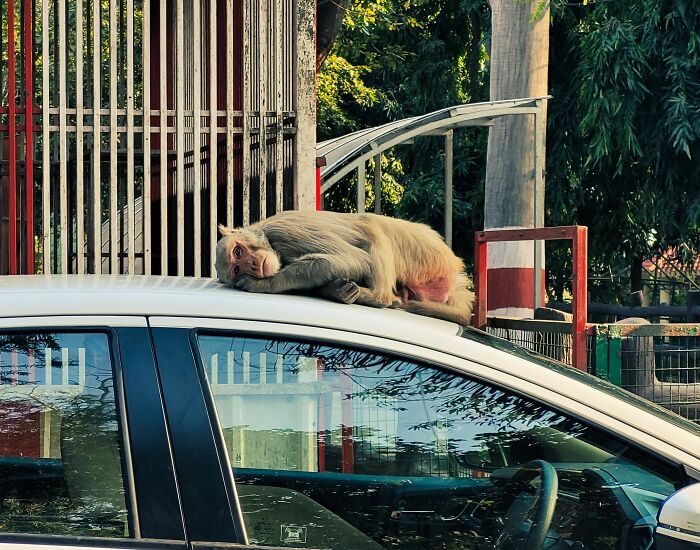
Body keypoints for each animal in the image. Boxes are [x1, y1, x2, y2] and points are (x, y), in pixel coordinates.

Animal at [215, 210, 474, 326]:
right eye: (236, 269)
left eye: (238, 252)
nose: (252, 265)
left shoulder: (286, 232)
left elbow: (355, 259)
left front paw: (263, 285)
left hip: (425, 256)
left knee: (372, 231)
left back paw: (377, 297)